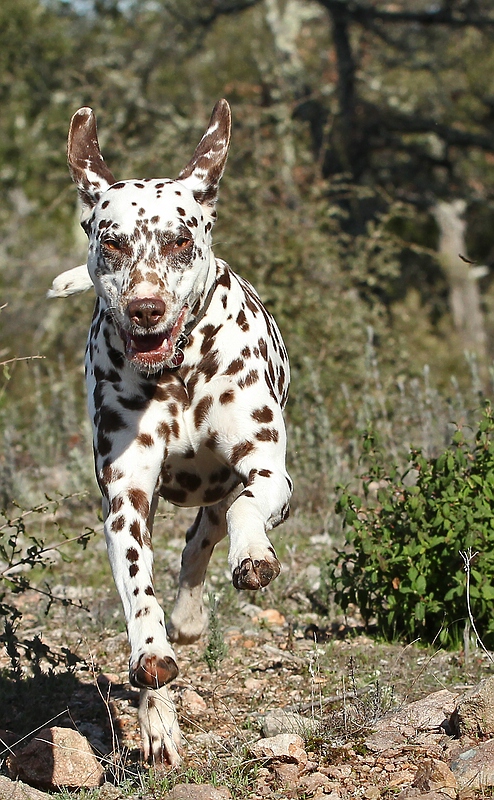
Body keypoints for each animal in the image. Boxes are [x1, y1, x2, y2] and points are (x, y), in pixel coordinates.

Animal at [49, 100, 290, 764]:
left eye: (180, 240)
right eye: (112, 244)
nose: (145, 308)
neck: (179, 369)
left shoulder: (267, 469)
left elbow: (246, 510)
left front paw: (252, 555)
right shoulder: (127, 497)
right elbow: (139, 592)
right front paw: (153, 658)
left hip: (222, 488)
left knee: (207, 533)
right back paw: (158, 717)